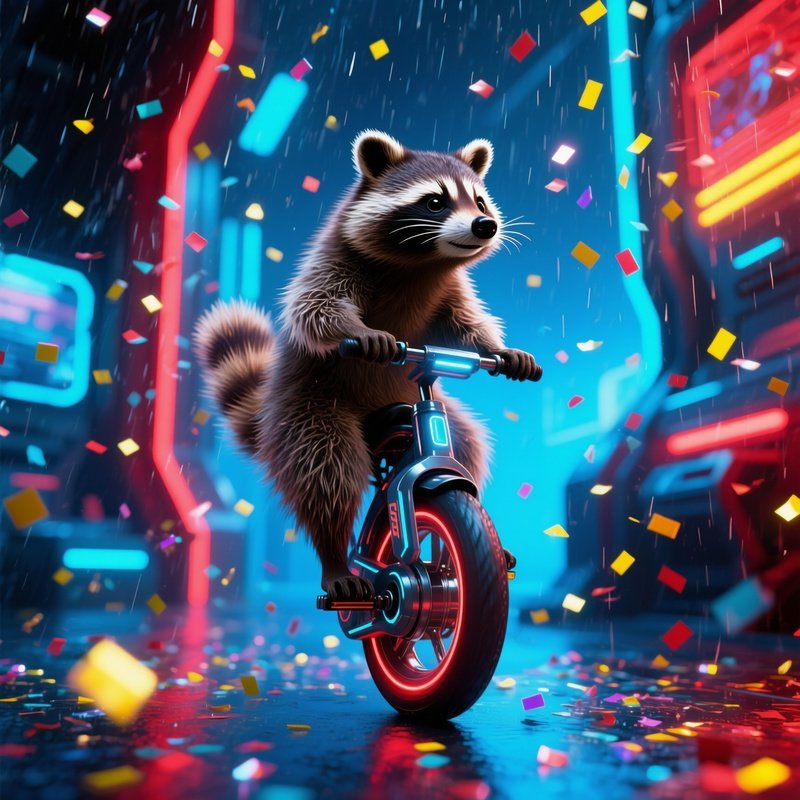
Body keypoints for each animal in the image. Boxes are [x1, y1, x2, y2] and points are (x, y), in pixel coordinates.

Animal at [194, 130, 538, 601]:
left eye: (480, 201)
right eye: (435, 201)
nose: (486, 225)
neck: (422, 263)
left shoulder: (450, 291)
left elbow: (464, 324)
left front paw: (500, 349)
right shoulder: (334, 260)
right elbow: (315, 307)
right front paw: (358, 331)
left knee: (468, 444)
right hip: (306, 408)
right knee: (326, 468)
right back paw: (335, 557)